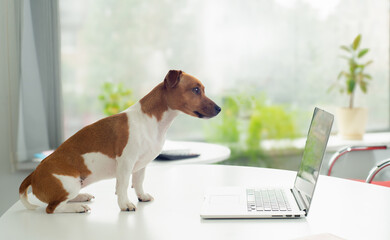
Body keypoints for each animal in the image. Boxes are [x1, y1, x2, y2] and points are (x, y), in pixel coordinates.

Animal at [18, 70, 221, 214]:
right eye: (196, 90)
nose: (219, 108)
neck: (151, 120)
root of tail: (33, 174)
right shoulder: (126, 163)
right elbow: (123, 185)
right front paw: (125, 204)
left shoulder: (141, 165)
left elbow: (138, 182)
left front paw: (142, 196)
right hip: (70, 183)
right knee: (52, 207)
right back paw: (76, 208)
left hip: (75, 185)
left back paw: (81, 197)